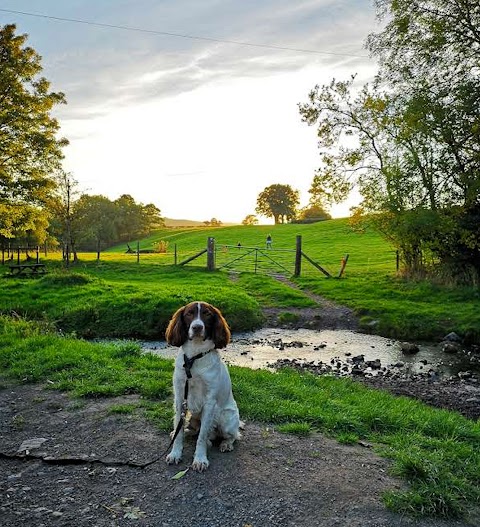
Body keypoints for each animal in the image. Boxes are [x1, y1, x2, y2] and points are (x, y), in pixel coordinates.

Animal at [165, 304, 242, 472]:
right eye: (189, 314)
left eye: (207, 314)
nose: (197, 327)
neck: (194, 356)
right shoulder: (180, 397)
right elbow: (180, 431)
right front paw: (175, 453)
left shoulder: (209, 402)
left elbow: (201, 437)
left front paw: (200, 459)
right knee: (193, 430)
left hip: (226, 418)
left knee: (232, 435)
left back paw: (225, 444)